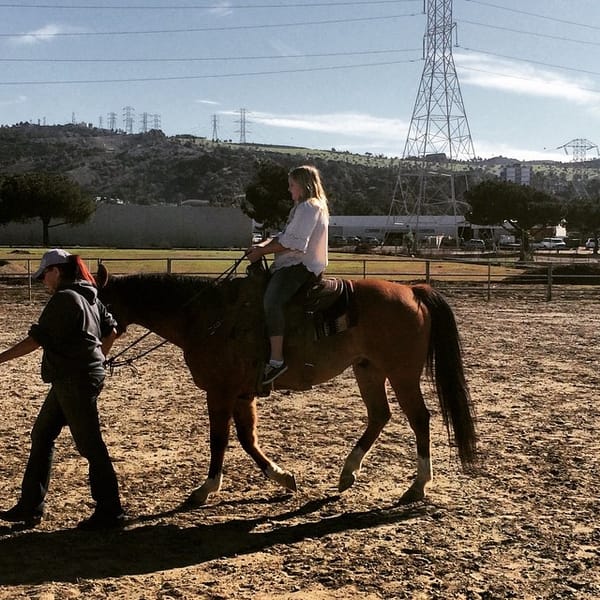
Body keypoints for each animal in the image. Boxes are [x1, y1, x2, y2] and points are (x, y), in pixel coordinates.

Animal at [96, 264, 476, 506]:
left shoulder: (220, 391)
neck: (205, 316)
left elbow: (219, 440)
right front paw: (283, 477)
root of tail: (413, 291)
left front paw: (206, 489)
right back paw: (348, 473)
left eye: (96, 305)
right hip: (368, 370)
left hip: (401, 374)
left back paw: (418, 485)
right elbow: (247, 440)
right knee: (380, 416)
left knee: (420, 419)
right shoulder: (242, 393)